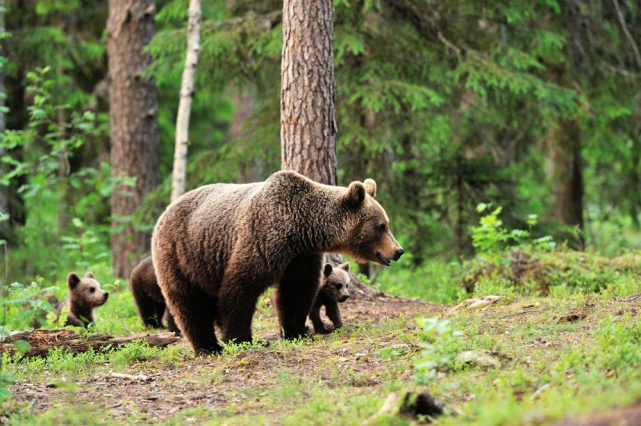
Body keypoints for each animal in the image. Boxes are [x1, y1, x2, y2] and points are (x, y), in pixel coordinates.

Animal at [151, 170, 400, 352]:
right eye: (381, 226)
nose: (398, 250)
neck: (301, 229)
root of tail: (164, 213)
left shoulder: (301, 256)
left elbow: (296, 291)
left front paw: (297, 331)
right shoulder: (262, 238)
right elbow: (241, 286)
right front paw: (242, 339)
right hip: (182, 254)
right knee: (190, 303)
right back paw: (208, 346)